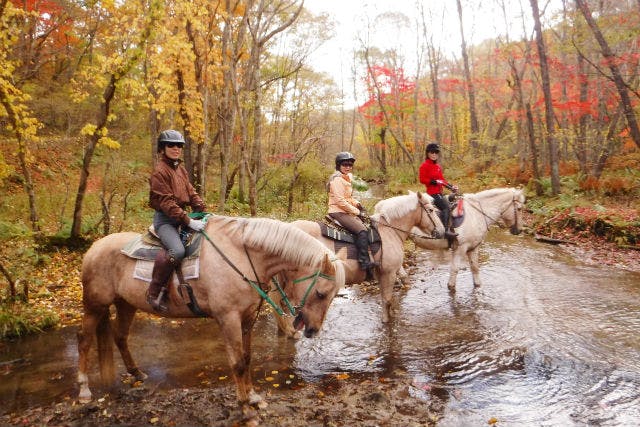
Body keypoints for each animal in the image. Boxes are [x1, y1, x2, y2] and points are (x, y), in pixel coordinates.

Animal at [78, 216, 348, 410]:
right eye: (321, 293)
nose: (312, 330)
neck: (242, 256)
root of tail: (93, 248)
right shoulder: (228, 319)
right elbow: (237, 363)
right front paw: (244, 405)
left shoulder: (247, 318)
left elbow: (247, 358)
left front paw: (253, 396)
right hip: (94, 305)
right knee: (84, 341)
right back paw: (83, 390)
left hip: (126, 304)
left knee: (120, 336)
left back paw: (136, 373)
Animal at [276, 191, 444, 332]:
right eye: (431, 210)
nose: (442, 232)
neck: (390, 230)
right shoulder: (388, 273)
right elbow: (387, 300)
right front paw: (386, 322)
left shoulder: (389, 272)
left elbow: (395, 289)